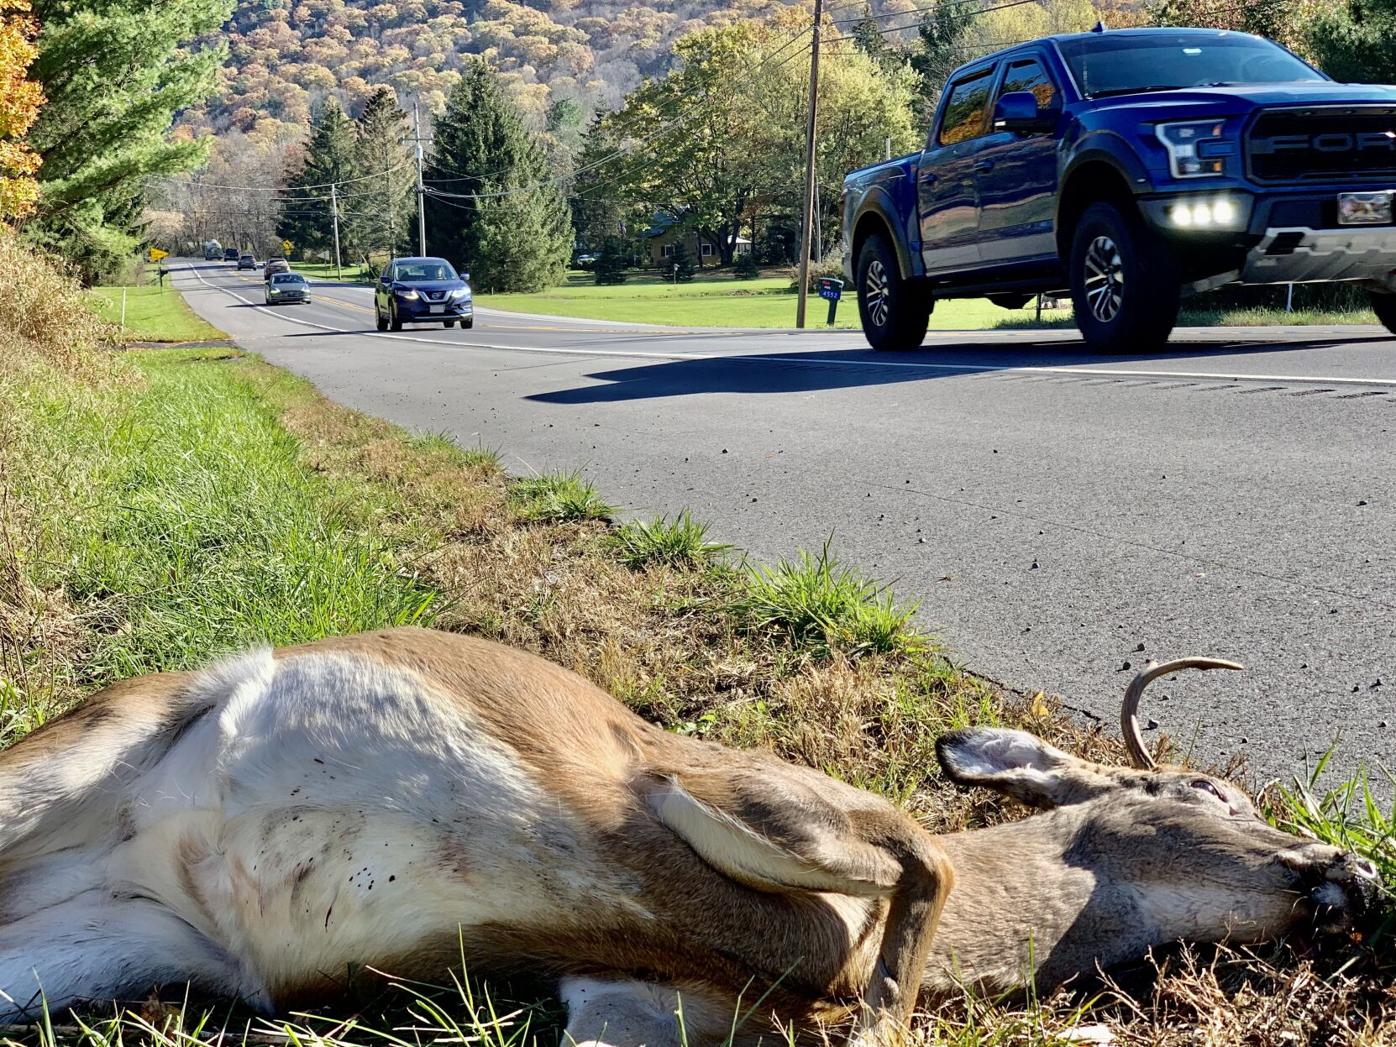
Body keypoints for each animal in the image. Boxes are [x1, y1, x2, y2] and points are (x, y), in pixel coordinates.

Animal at [0, 628, 1373, 1044]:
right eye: (1208, 796)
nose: (1353, 870)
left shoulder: (624, 998)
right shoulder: (722, 786)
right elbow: (906, 870)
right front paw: (880, 1016)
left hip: (107, 944)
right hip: (83, 749)